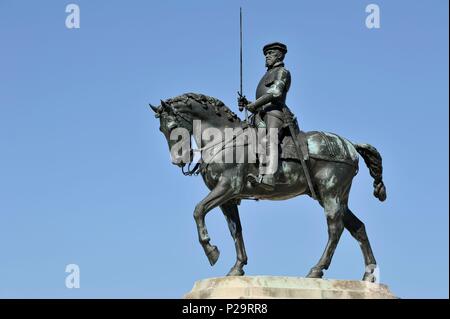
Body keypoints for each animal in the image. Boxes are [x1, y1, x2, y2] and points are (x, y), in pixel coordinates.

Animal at [149, 92, 386, 282]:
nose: (179, 160)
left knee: (335, 229)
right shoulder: (228, 198)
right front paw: (237, 267)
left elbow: (198, 210)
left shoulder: (228, 187)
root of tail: (349, 145)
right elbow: (236, 230)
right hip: (333, 195)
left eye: (173, 127)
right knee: (358, 228)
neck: (225, 140)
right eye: (161, 130)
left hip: (331, 194)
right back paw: (368, 276)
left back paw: (316, 270)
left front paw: (211, 250)